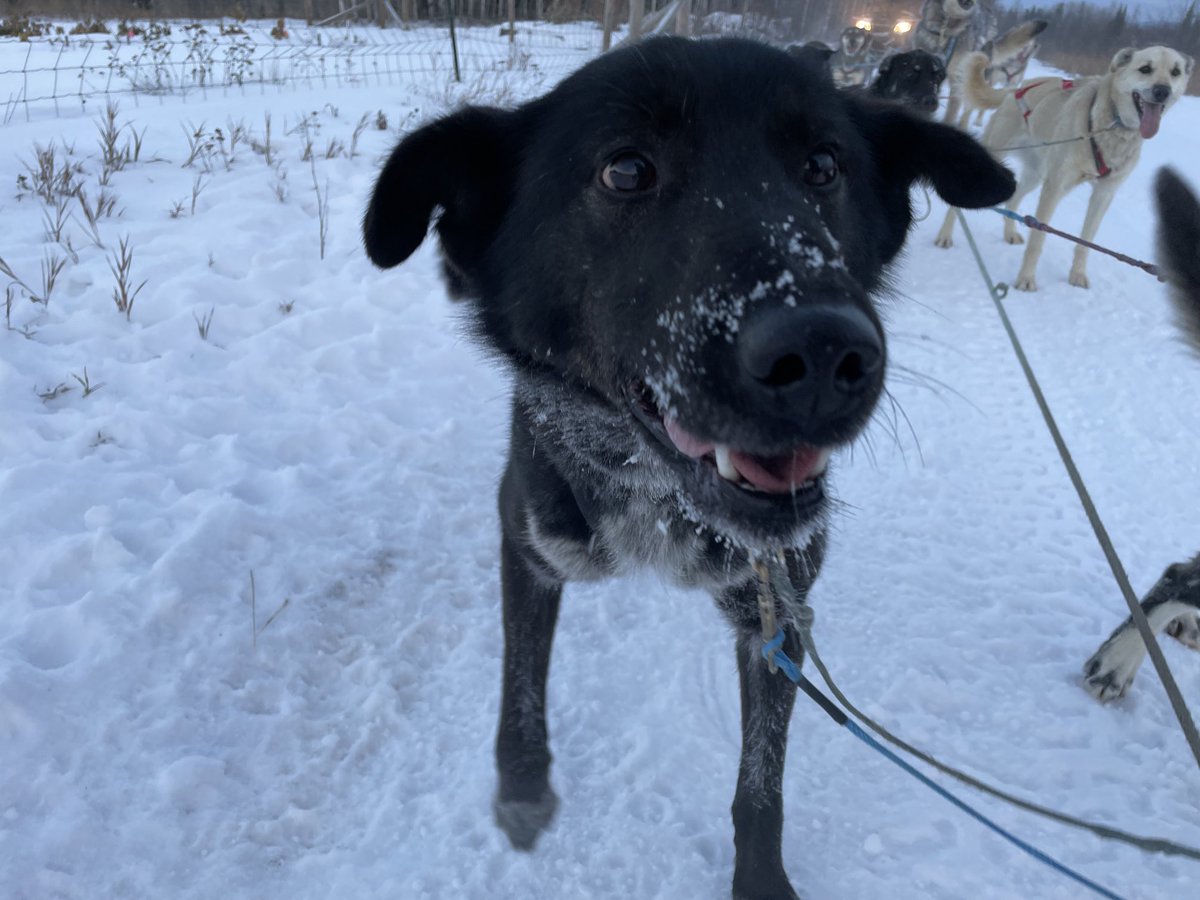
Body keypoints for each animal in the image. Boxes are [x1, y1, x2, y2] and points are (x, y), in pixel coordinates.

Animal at [362, 37, 1012, 900]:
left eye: (823, 165)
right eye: (626, 169)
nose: (822, 350)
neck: (655, 487)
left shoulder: (780, 613)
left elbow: (761, 784)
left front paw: (761, 882)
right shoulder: (528, 545)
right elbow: (520, 686)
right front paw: (523, 789)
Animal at [940, 46, 1195, 292]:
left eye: (1175, 72)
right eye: (1145, 69)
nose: (1163, 91)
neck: (1111, 126)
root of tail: (1016, 89)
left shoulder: (1104, 194)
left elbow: (1086, 241)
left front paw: (1078, 274)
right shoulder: (1055, 187)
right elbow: (1038, 238)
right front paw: (1026, 278)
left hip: (1036, 174)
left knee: (1013, 200)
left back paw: (1010, 232)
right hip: (999, 156)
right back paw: (945, 235)